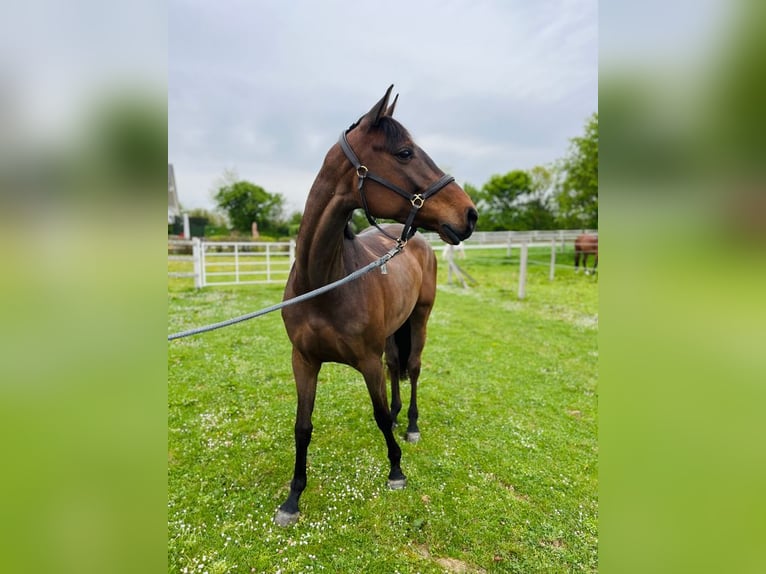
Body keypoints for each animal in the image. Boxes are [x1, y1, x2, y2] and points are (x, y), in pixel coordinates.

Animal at [275, 86, 478, 526]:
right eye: (404, 152)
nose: (470, 214)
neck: (323, 283)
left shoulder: (366, 361)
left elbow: (379, 414)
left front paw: (396, 469)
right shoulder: (304, 361)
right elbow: (302, 426)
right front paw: (293, 498)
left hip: (419, 319)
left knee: (412, 368)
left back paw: (411, 425)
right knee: (396, 367)